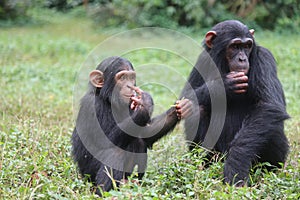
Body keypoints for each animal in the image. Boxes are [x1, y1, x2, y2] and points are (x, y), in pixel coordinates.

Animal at [71, 56, 191, 195]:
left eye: (131, 77)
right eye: (122, 77)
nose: (130, 86)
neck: (108, 100)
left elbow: (145, 134)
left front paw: (180, 108)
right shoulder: (92, 106)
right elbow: (104, 142)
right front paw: (145, 104)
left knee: (139, 142)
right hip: (89, 177)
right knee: (116, 152)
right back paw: (105, 193)